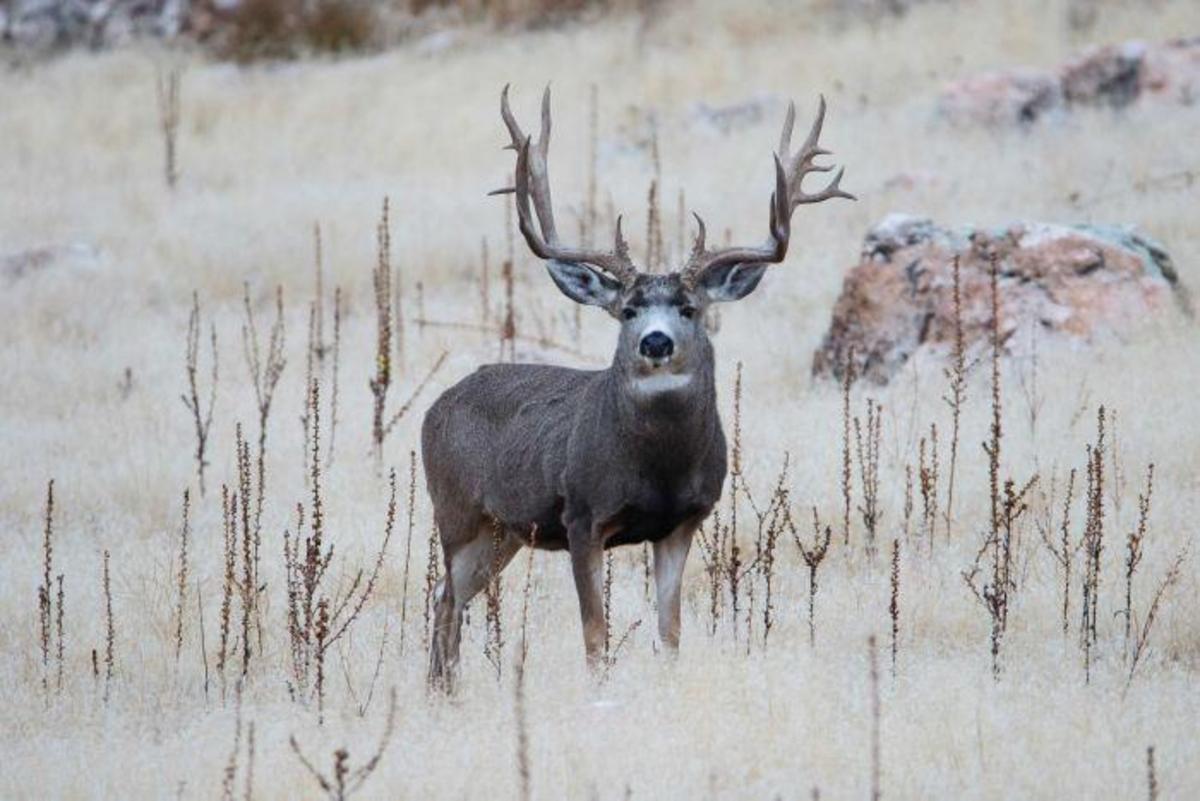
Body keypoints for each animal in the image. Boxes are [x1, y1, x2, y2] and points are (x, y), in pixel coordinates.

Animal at [424, 87, 854, 685]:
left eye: (690, 308)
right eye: (627, 310)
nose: (655, 341)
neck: (658, 469)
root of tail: (435, 406)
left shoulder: (683, 522)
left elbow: (670, 632)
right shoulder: (582, 516)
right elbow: (595, 633)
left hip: (504, 531)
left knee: (450, 598)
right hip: (458, 511)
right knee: (445, 601)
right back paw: (445, 690)